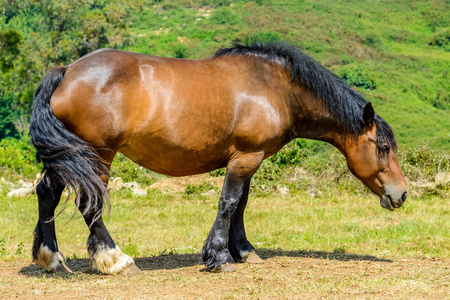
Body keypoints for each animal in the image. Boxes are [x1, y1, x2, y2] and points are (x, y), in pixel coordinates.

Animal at [29, 39, 408, 274]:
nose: (401, 194)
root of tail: (66, 72)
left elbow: (240, 204)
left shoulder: (248, 159)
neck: (275, 87)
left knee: (46, 192)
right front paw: (221, 256)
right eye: (383, 147)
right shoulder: (246, 158)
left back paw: (50, 258)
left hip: (68, 157)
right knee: (88, 203)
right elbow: (228, 203)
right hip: (97, 156)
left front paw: (243, 252)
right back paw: (115, 259)